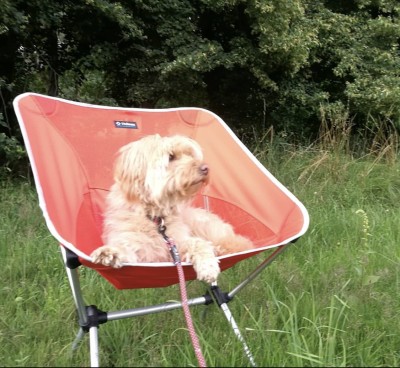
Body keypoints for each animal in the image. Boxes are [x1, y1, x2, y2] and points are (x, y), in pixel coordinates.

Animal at [90, 135, 253, 282]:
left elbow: (199, 244)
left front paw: (208, 267)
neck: (155, 217)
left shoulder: (179, 244)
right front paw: (109, 253)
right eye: (171, 157)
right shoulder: (138, 250)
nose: (206, 168)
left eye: (189, 154)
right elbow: (125, 250)